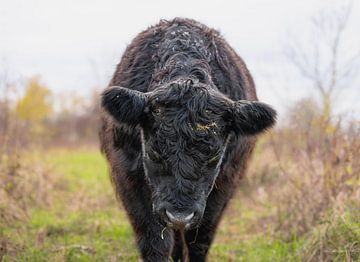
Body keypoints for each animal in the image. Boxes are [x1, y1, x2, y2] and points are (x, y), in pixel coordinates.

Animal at [98, 17, 276, 260]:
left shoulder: (224, 184)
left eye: (214, 157)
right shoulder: (130, 179)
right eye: (153, 152)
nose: (179, 216)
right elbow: (155, 242)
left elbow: (199, 241)